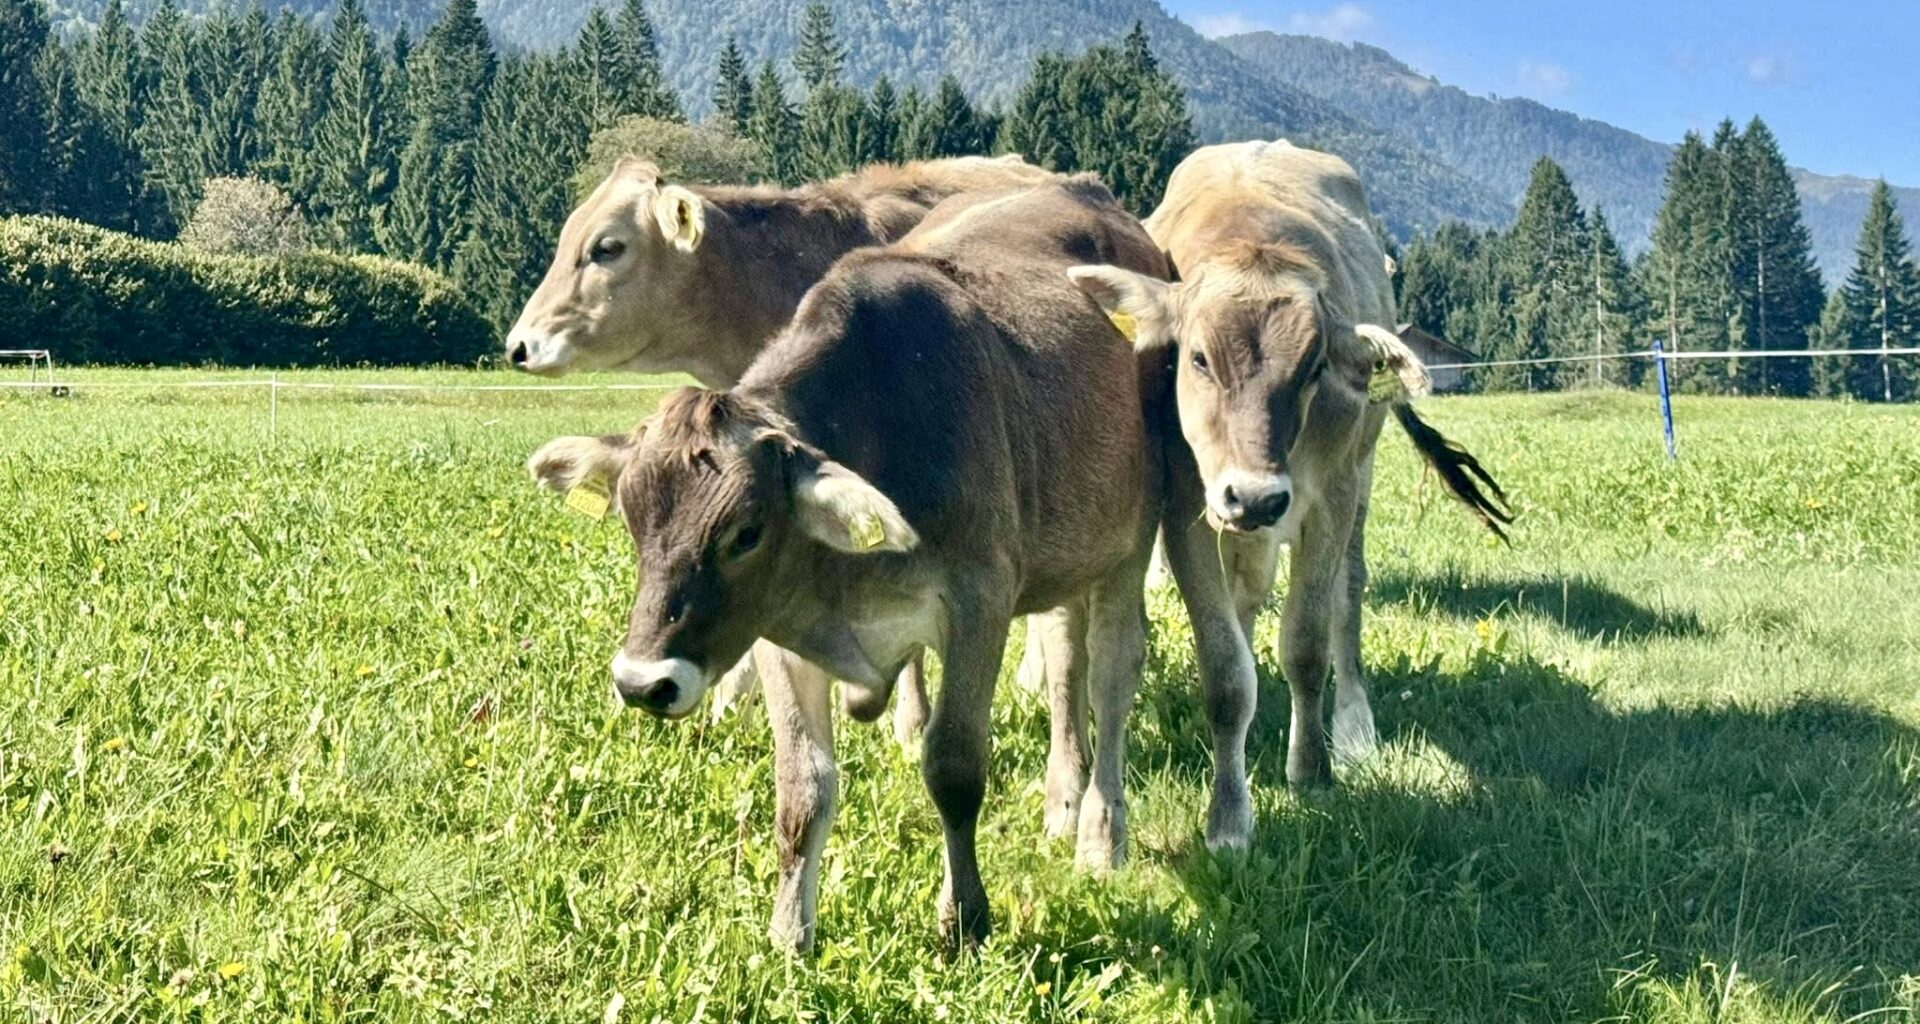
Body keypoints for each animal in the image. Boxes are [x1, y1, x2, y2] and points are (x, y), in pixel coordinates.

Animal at [1068, 140, 1511, 848]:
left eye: (1313, 368)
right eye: (1197, 358)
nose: (1255, 498)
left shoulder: (1327, 499)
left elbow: (1306, 642)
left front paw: (1312, 769)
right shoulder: (1188, 506)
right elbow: (1226, 670)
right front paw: (1228, 813)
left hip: (1358, 476)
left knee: (1347, 596)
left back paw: (1354, 727)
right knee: (1247, 602)